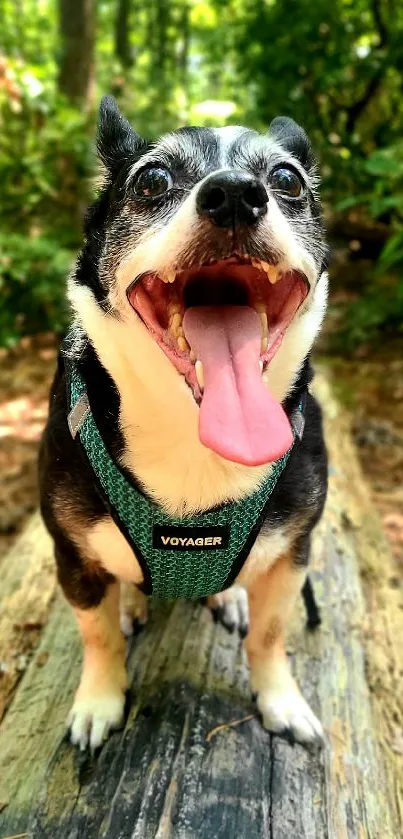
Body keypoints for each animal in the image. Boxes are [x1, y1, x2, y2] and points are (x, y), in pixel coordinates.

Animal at [40, 95, 332, 752]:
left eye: (286, 180)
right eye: (151, 180)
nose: (236, 194)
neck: (191, 433)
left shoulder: (292, 556)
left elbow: (271, 636)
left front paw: (282, 700)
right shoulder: (72, 556)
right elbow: (96, 635)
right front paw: (99, 700)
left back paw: (228, 597)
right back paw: (133, 605)